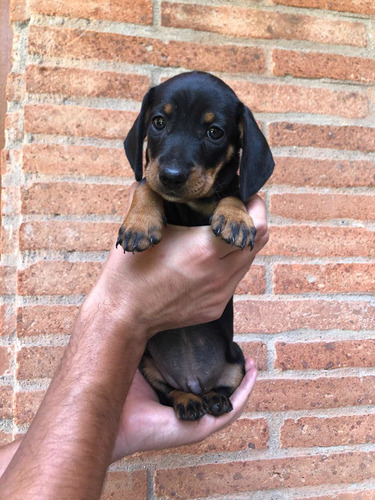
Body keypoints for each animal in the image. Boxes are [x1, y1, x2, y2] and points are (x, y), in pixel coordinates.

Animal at [116, 71, 274, 422]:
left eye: (214, 132)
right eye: (158, 122)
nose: (172, 176)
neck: (191, 204)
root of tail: (194, 380)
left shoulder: (230, 188)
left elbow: (233, 192)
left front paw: (235, 219)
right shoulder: (153, 179)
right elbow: (146, 185)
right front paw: (139, 224)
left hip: (236, 357)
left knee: (223, 388)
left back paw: (213, 399)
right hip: (147, 363)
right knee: (169, 392)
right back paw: (188, 401)